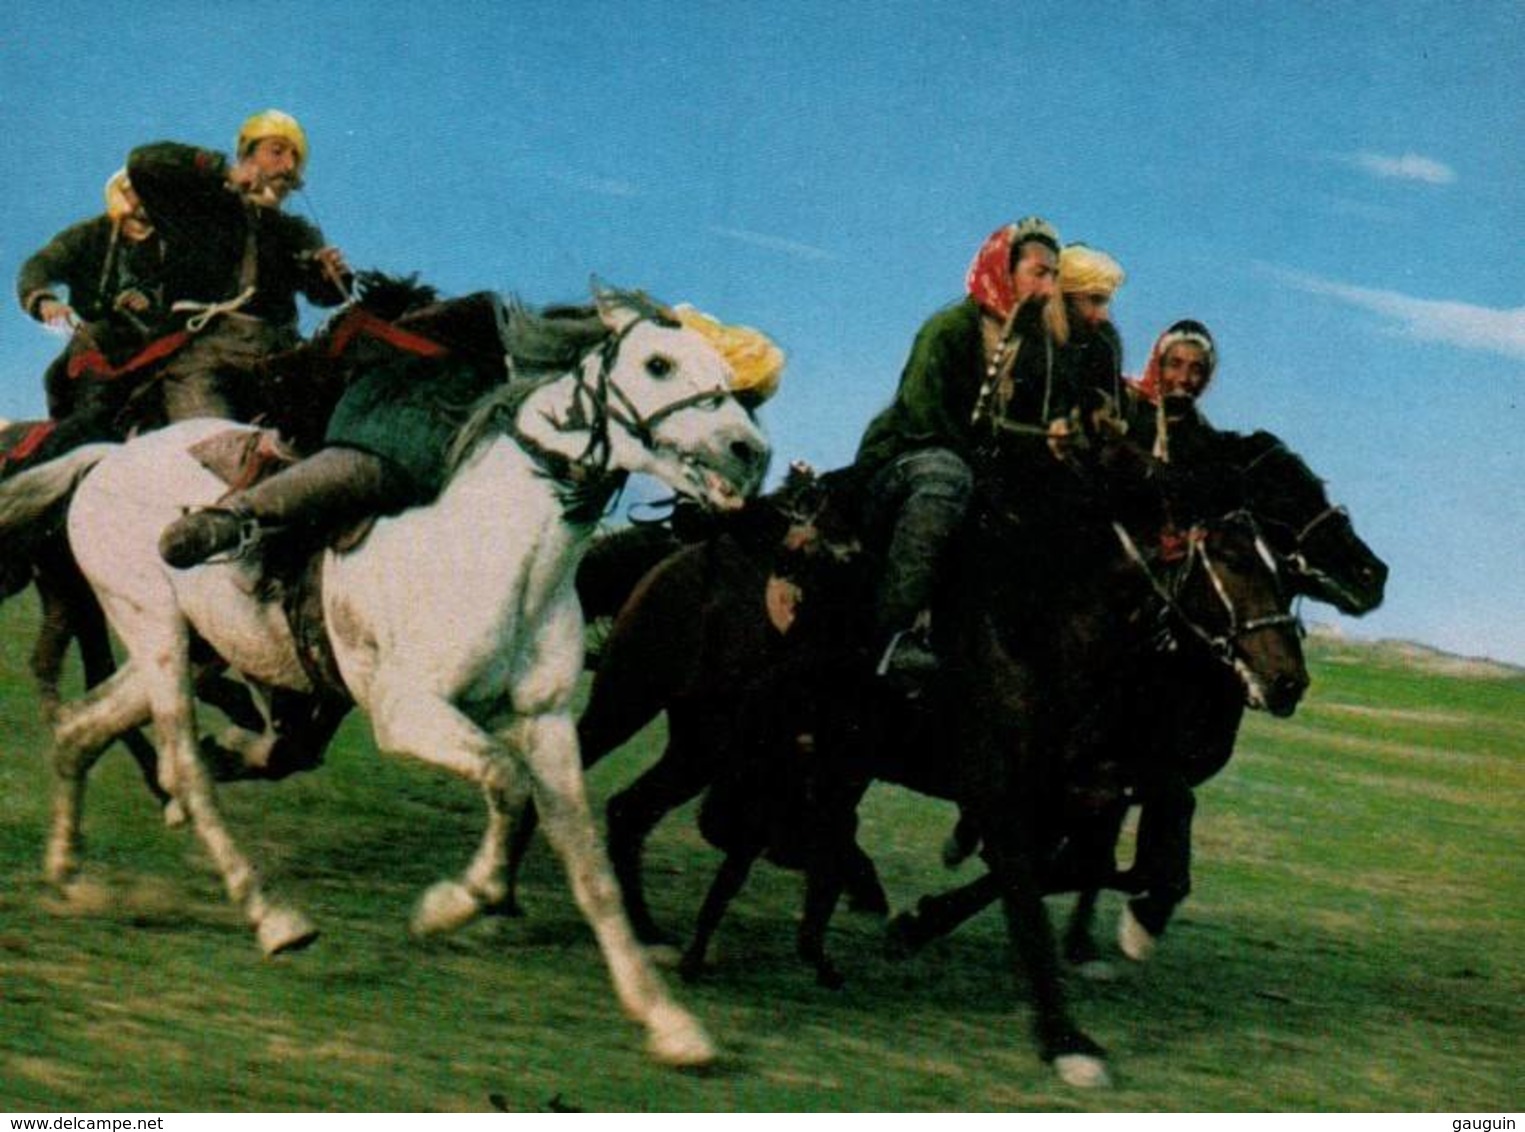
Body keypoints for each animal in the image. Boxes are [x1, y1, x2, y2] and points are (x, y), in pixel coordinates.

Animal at [5, 288, 768, 1067]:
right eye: (658, 363)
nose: (750, 453)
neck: (496, 549)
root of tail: (108, 458)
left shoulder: (548, 722)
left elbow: (587, 864)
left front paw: (665, 1020)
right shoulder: (406, 713)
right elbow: (506, 784)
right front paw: (450, 905)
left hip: (184, 649)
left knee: (79, 731)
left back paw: (69, 874)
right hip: (154, 631)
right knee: (182, 766)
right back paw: (270, 913)